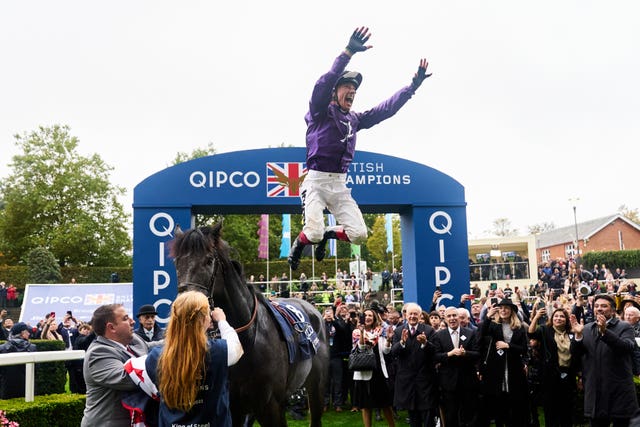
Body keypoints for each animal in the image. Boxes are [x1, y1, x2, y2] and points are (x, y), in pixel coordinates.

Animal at [171, 224, 328, 427]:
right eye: (177, 262)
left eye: (208, 260)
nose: (185, 307)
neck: (245, 342)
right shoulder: (234, 408)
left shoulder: (270, 407)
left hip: (316, 387)